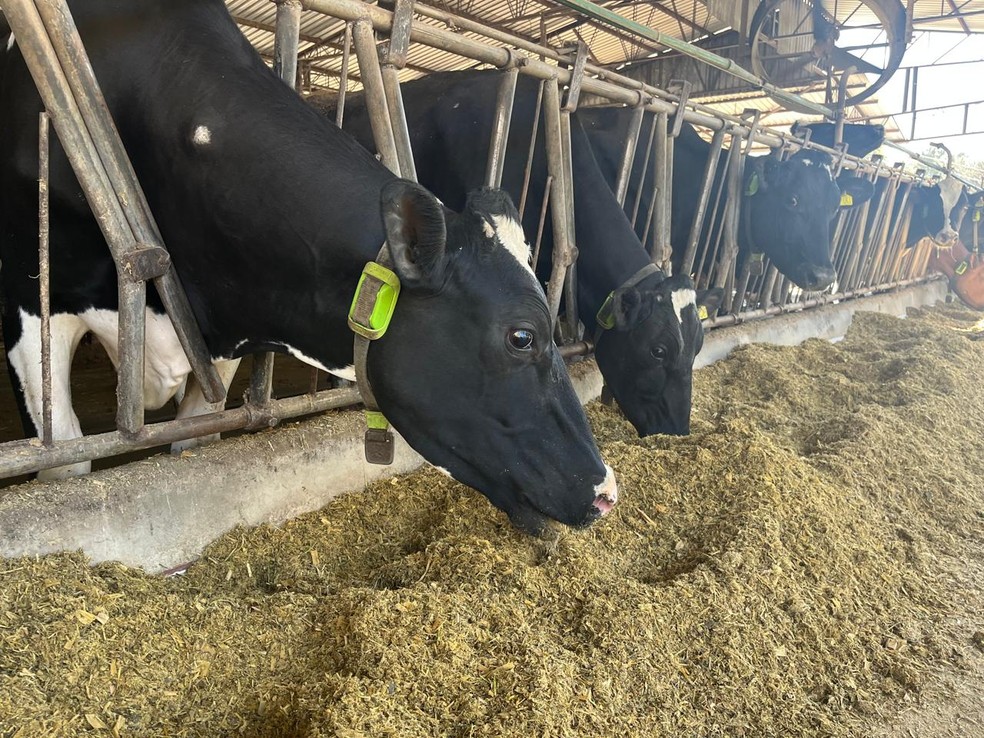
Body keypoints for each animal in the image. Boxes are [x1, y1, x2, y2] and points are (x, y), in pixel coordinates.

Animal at [0, 0, 617, 533]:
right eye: (522, 337)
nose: (607, 489)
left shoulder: (224, 333)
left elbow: (190, 442)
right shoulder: (31, 310)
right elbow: (67, 463)